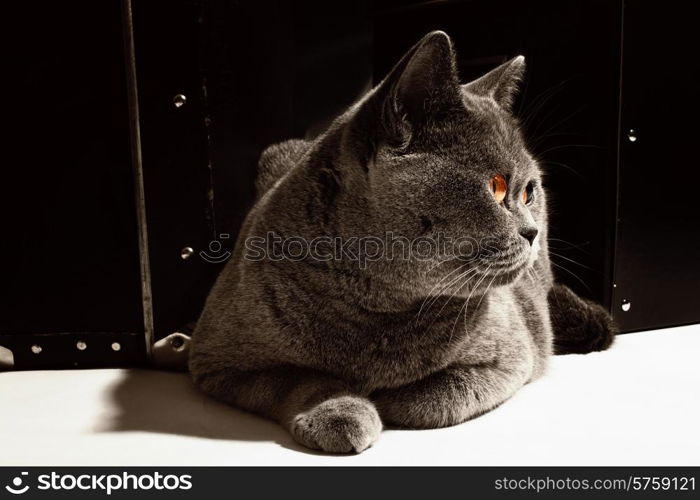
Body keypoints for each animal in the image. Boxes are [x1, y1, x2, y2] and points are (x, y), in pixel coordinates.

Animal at [189, 31, 616, 454]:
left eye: (529, 192)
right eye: (495, 188)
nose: (532, 232)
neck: (379, 306)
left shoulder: (514, 355)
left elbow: (437, 396)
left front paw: (388, 399)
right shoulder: (215, 362)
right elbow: (297, 378)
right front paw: (340, 412)